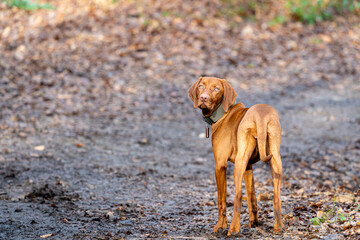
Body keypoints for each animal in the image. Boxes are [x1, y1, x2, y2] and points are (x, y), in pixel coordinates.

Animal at [188, 77, 284, 236]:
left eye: (216, 88)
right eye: (201, 86)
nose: (203, 98)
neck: (223, 114)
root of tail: (260, 116)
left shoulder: (220, 165)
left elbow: (221, 200)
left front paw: (220, 226)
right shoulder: (249, 166)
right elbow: (252, 197)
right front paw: (253, 222)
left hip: (239, 163)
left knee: (238, 195)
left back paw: (233, 229)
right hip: (275, 159)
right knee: (276, 196)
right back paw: (278, 227)